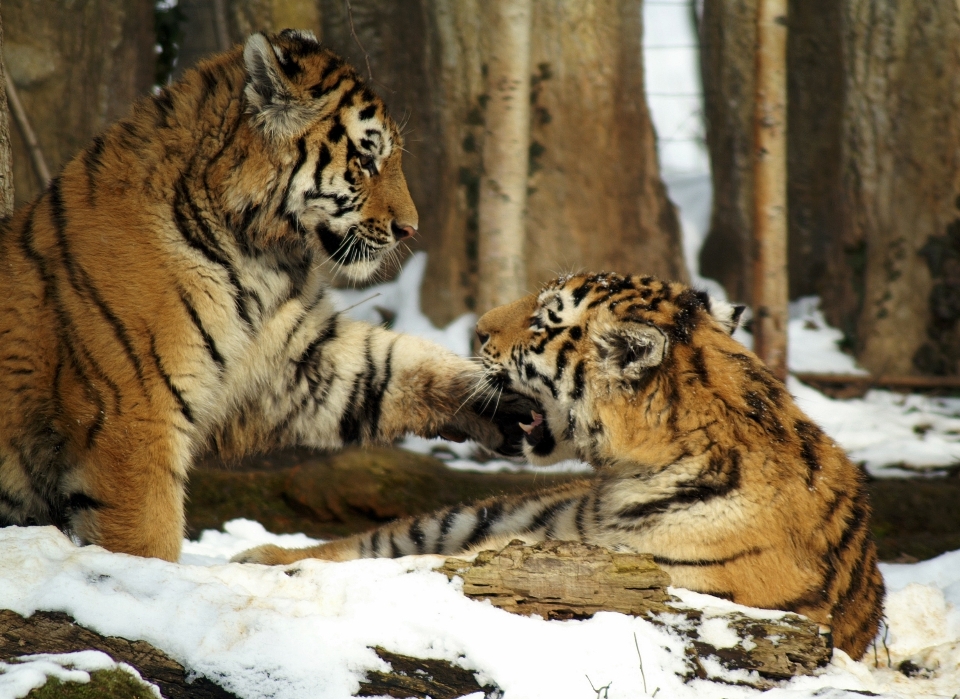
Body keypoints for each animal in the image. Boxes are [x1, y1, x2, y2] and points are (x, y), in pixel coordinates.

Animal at [0, 31, 532, 564]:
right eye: (365, 160)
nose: (410, 229)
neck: (258, 257)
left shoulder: (292, 361)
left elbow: (390, 366)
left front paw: (499, 397)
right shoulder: (134, 415)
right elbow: (146, 537)